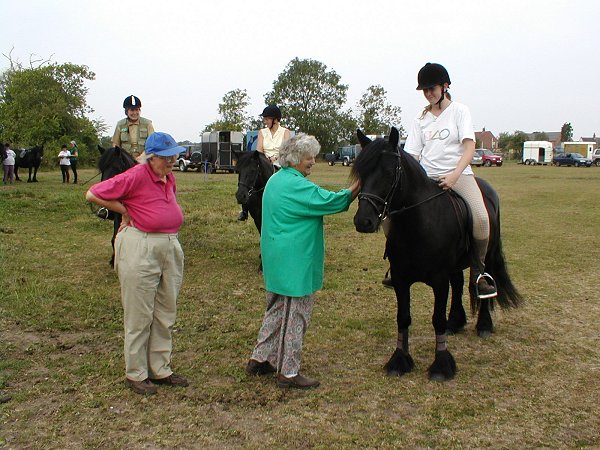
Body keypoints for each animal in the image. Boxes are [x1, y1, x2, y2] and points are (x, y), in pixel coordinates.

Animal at [352, 126, 520, 380]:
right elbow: (403, 318)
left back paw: (483, 325)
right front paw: (399, 360)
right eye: (361, 172)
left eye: (389, 173)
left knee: (482, 281)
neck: (419, 223)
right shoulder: (401, 279)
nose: (363, 221)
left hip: (486, 254)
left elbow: (437, 319)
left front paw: (441, 365)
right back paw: (456, 322)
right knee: (459, 284)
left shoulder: (439, 280)